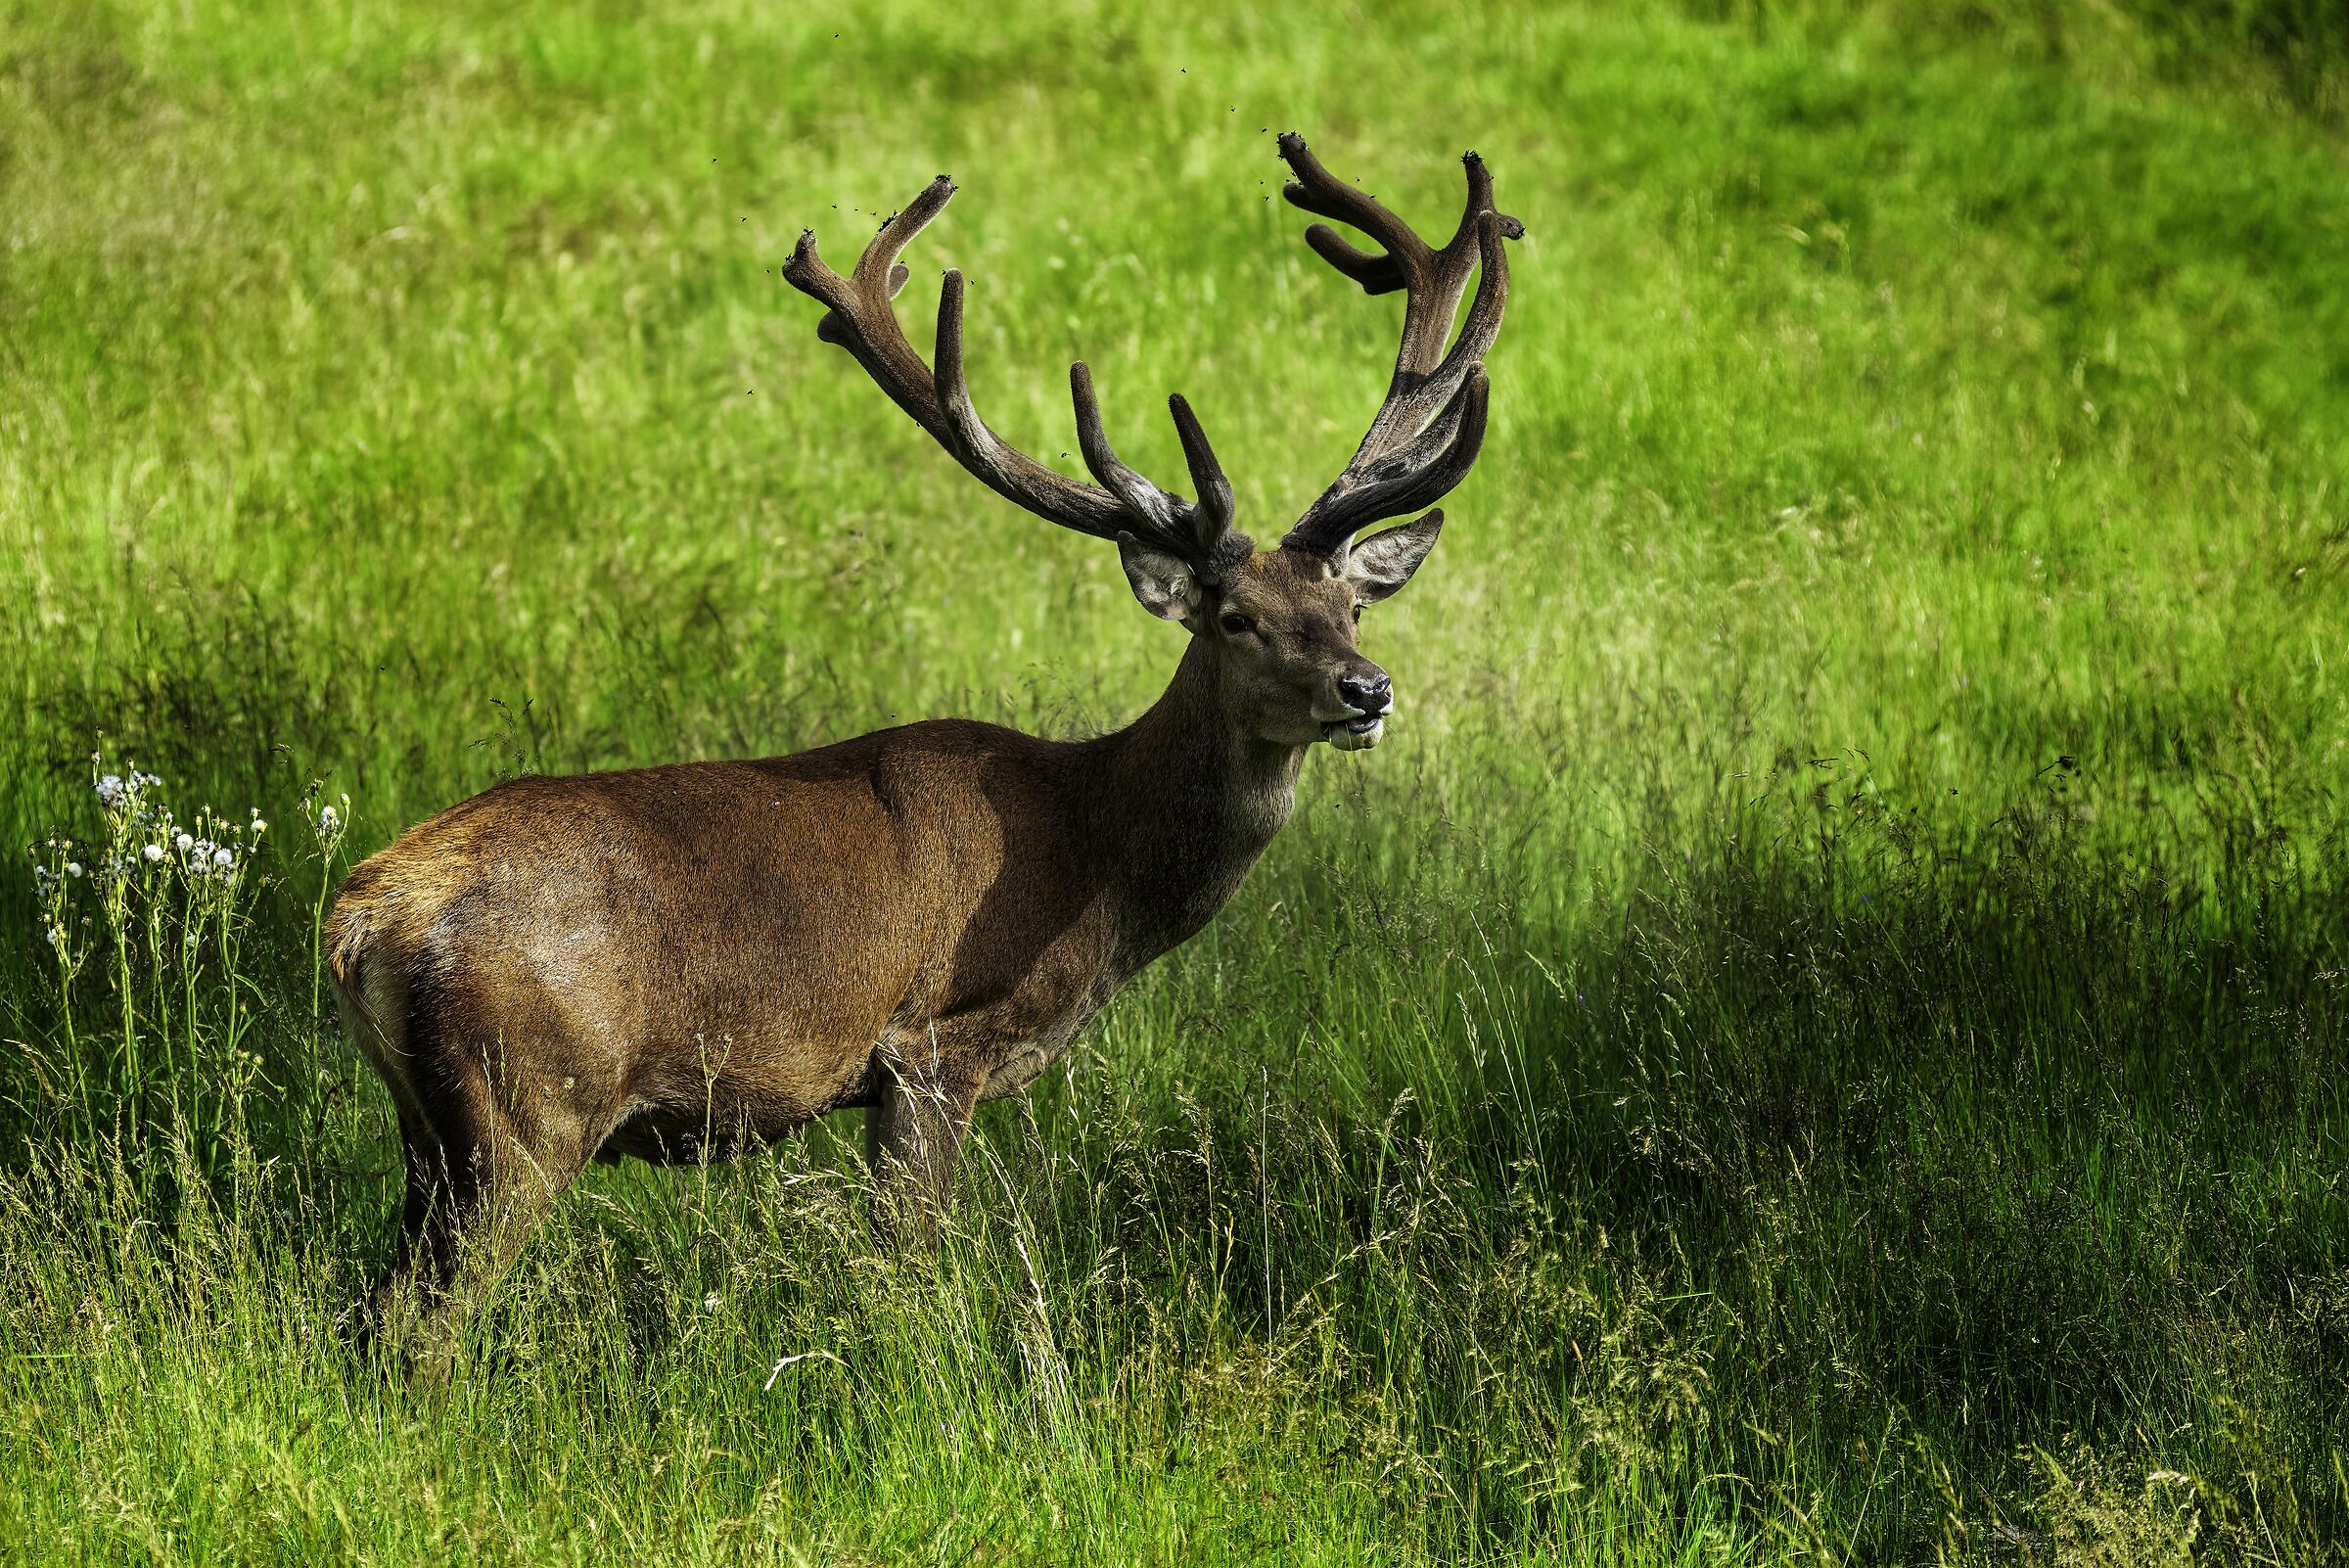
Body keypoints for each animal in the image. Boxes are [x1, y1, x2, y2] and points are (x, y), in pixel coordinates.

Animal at [326, 133, 1519, 1323]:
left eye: (1350, 606)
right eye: (1237, 617)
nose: (1367, 690)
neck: (1100, 859)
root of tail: (360, 919)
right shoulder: (933, 1046)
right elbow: (909, 1266)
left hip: (431, 1132)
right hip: (530, 1105)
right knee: (419, 1324)